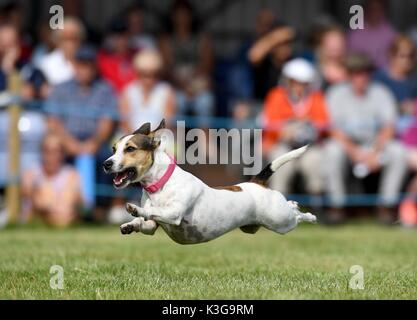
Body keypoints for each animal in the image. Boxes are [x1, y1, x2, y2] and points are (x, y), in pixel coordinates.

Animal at [103, 120, 316, 245]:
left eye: (130, 149)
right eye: (114, 148)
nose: (106, 164)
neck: (160, 184)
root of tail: (257, 183)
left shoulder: (174, 214)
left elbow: (152, 210)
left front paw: (135, 209)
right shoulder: (153, 226)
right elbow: (145, 223)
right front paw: (130, 225)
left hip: (281, 221)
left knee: (296, 216)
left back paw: (309, 215)